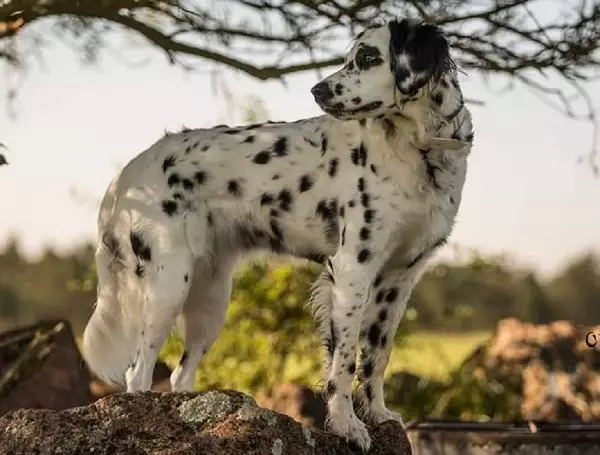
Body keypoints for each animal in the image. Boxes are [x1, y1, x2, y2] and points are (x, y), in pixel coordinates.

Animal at [82, 16, 474, 452]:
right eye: (353, 57)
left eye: (369, 57)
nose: (317, 90)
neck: (418, 149)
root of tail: (127, 175)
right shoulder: (352, 269)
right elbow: (344, 362)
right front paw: (347, 425)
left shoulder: (398, 279)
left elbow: (377, 357)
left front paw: (377, 414)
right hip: (168, 286)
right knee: (138, 372)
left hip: (210, 298)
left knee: (181, 375)